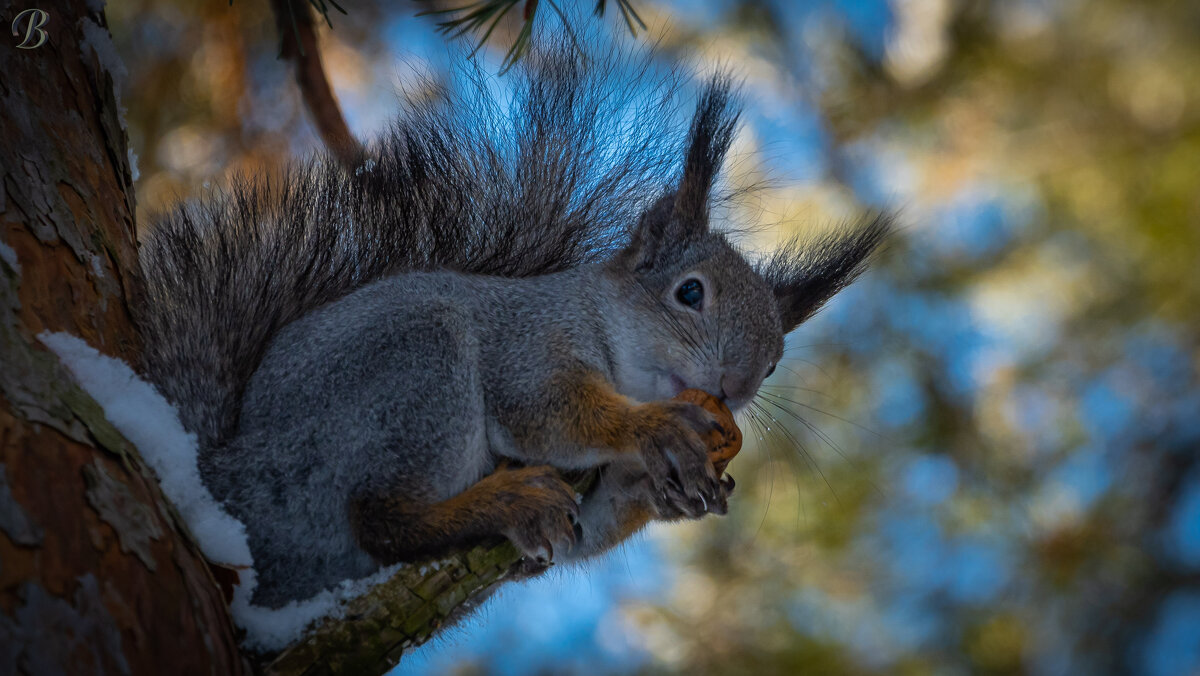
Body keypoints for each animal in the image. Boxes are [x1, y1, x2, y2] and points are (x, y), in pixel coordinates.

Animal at [133, 47, 892, 607]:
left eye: (776, 361)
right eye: (690, 292)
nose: (735, 385)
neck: (602, 330)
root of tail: (227, 479)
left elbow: (591, 526)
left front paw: (660, 488)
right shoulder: (526, 342)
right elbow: (547, 410)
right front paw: (654, 429)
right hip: (409, 371)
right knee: (382, 520)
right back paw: (501, 501)